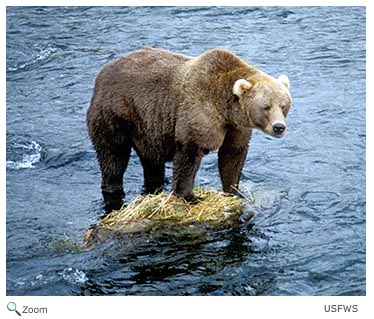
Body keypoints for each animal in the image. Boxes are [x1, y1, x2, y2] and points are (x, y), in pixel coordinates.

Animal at [87, 46, 292, 209]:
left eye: (283, 105)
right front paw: (189, 196)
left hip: (147, 127)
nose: (279, 127)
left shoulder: (236, 128)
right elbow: (189, 155)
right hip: (116, 114)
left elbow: (232, 155)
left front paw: (233, 190)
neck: (225, 109)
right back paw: (113, 188)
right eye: (266, 106)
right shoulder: (199, 113)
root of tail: (102, 72)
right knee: (113, 155)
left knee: (151, 160)